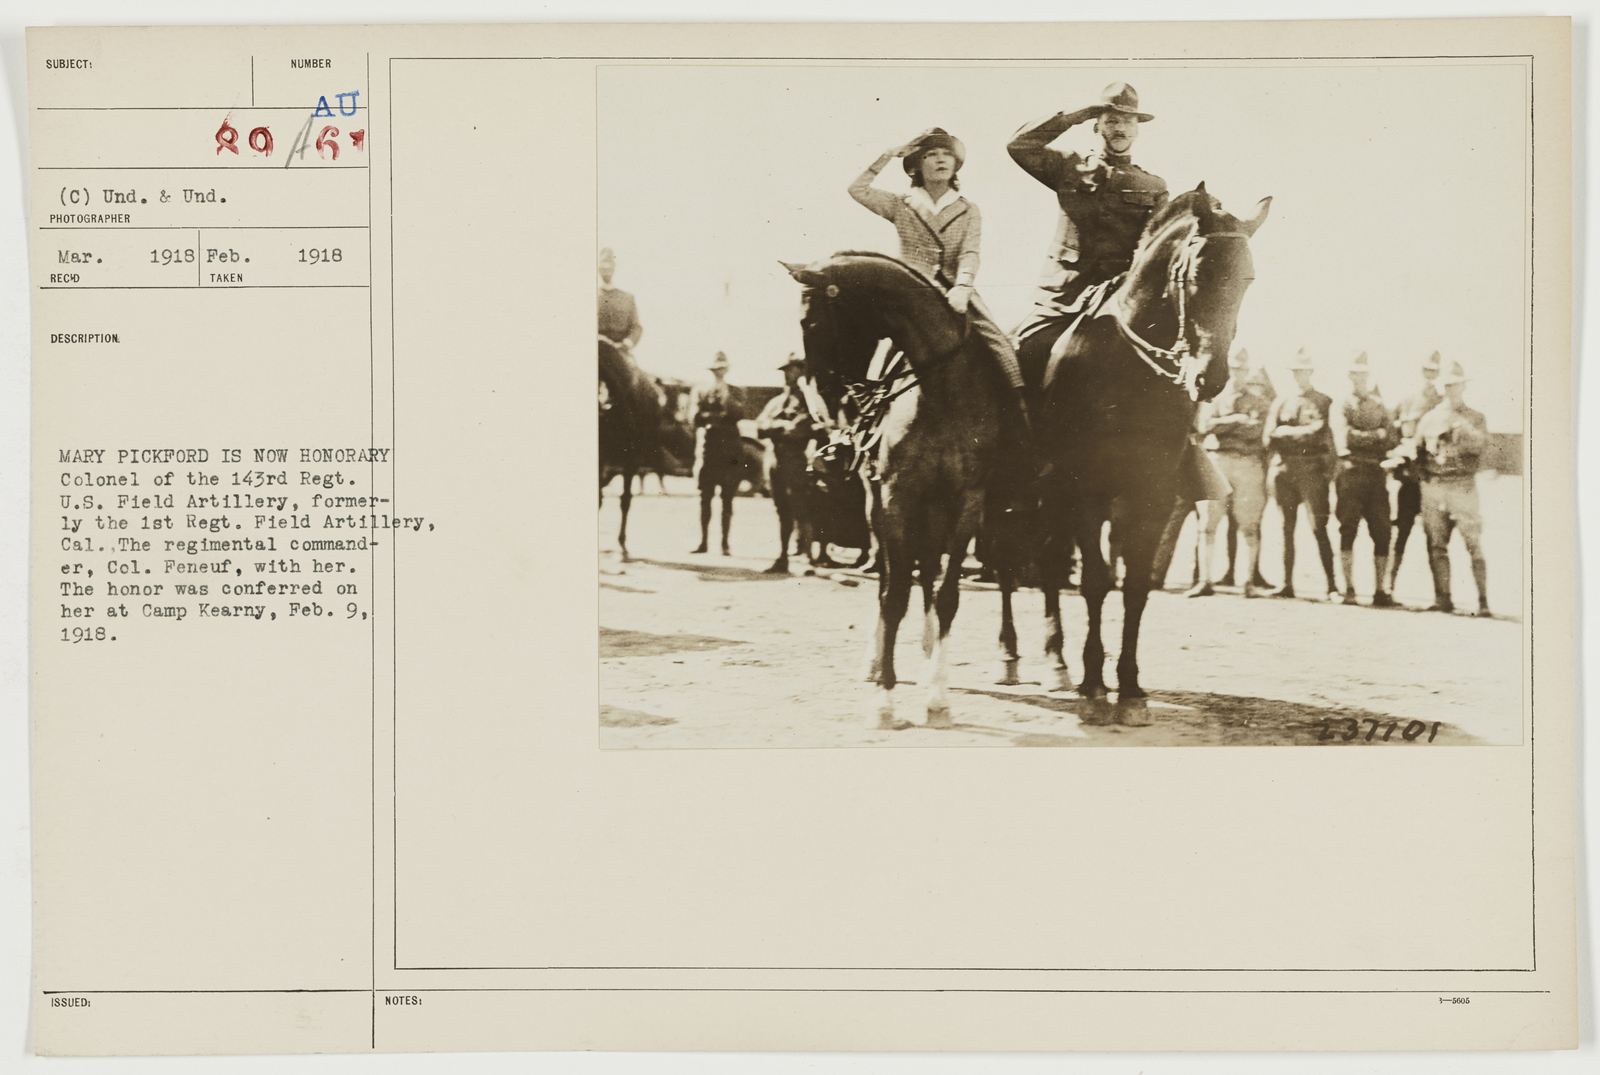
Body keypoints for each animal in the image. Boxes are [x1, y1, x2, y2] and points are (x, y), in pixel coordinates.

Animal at [784, 249, 1004, 729]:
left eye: (809, 321)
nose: (824, 397)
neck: (942, 391)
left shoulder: (968, 504)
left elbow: (947, 596)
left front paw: (937, 695)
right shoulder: (894, 499)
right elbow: (893, 595)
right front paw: (884, 699)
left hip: (935, 511)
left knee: (928, 575)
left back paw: (927, 654)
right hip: (878, 509)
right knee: (891, 575)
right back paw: (876, 660)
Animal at [1011, 187, 1273, 697]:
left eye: (1247, 280)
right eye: (1199, 274)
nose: (1211, 378)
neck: (1128, 366)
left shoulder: (1153, 493)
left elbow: (1135, 585)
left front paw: (1128, 678)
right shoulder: (1087, 489)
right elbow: (1096, 580)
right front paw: (1094, 674)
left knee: (1047, 561)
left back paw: (1054, 658)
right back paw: (1020, 655)